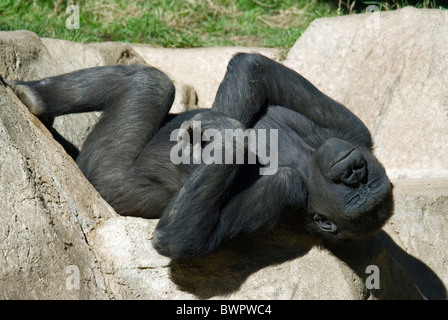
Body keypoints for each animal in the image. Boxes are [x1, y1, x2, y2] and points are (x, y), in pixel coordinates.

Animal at [6, 53, 392, 258]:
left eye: (359, 191)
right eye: (363, 176)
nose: (353, 172)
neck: (308, 161)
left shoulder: (287, 191)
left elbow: (180, 237)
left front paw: (226, 136)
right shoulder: (354, 135)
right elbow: (253, 68)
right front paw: (214, 125)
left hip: (102, 174)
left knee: (150, 87)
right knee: (155, 82)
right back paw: (33, 97)